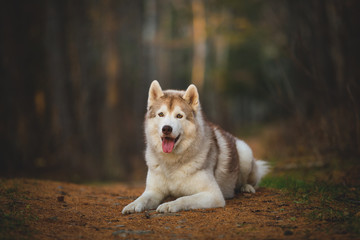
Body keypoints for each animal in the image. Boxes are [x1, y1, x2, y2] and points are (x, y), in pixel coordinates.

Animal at [122, 80, 268, 214]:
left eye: (179, 116)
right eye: (161, 114)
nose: (166, 128)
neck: (172, 163)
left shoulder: (213, 195)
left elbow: (184, 198)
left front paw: (169, 205)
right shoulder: (153, 191)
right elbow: (143, 198)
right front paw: (132, 205)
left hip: (245, 153)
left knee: (252, 180)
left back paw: (246, 187)